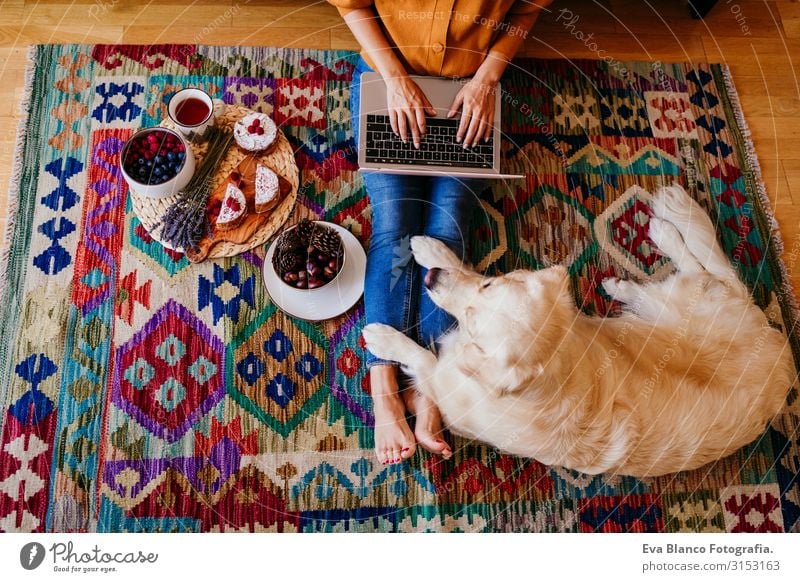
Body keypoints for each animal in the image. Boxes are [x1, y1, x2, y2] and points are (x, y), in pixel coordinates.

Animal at [362, 187, 792, 480]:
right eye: (488, 287)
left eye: (473, 323)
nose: (432, 278)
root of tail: (780, 350)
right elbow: (465, 268)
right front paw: (432, 251)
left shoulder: (446, 384)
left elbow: (420, 356)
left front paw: (384, 337)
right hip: (667, 309)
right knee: (706, 271)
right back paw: (635, 267)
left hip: (685, 300)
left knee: (707, 268)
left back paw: (665, 226)